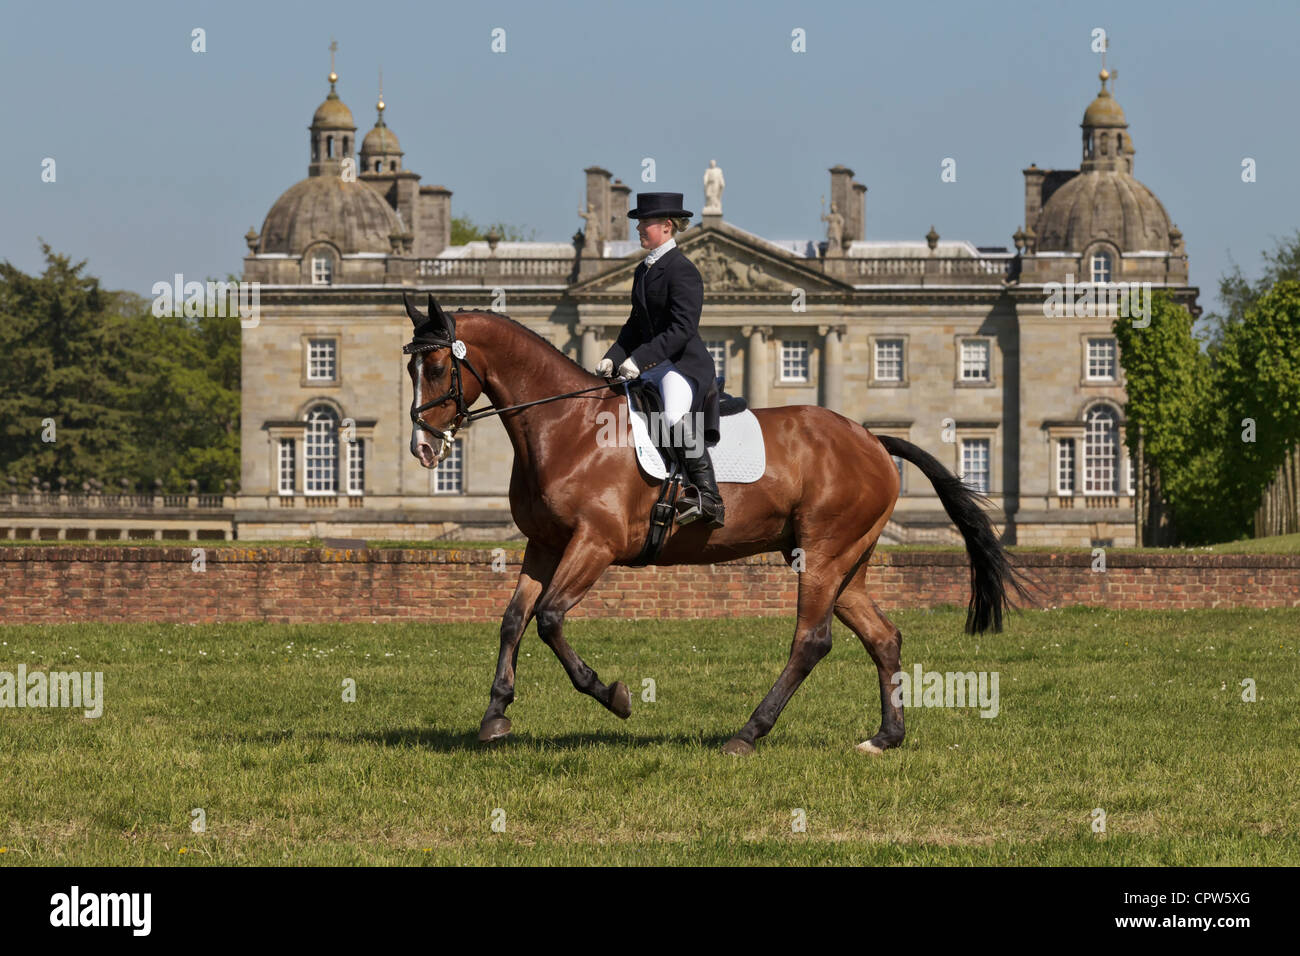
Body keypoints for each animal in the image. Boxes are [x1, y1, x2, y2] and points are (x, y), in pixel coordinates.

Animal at [403, 293, 1030, 755]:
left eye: (435, 366)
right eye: (410, 366)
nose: (423, 449)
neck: (567, 424)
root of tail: (873, 439)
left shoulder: (595, 544)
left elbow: (550, 620)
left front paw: (614, 695)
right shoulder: (544, 544)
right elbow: (513, 620)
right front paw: (495, 715)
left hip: (823, 554)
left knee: (812, 640)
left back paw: (747, 734)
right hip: (845, 561)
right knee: (882, 637)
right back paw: (885, 737)